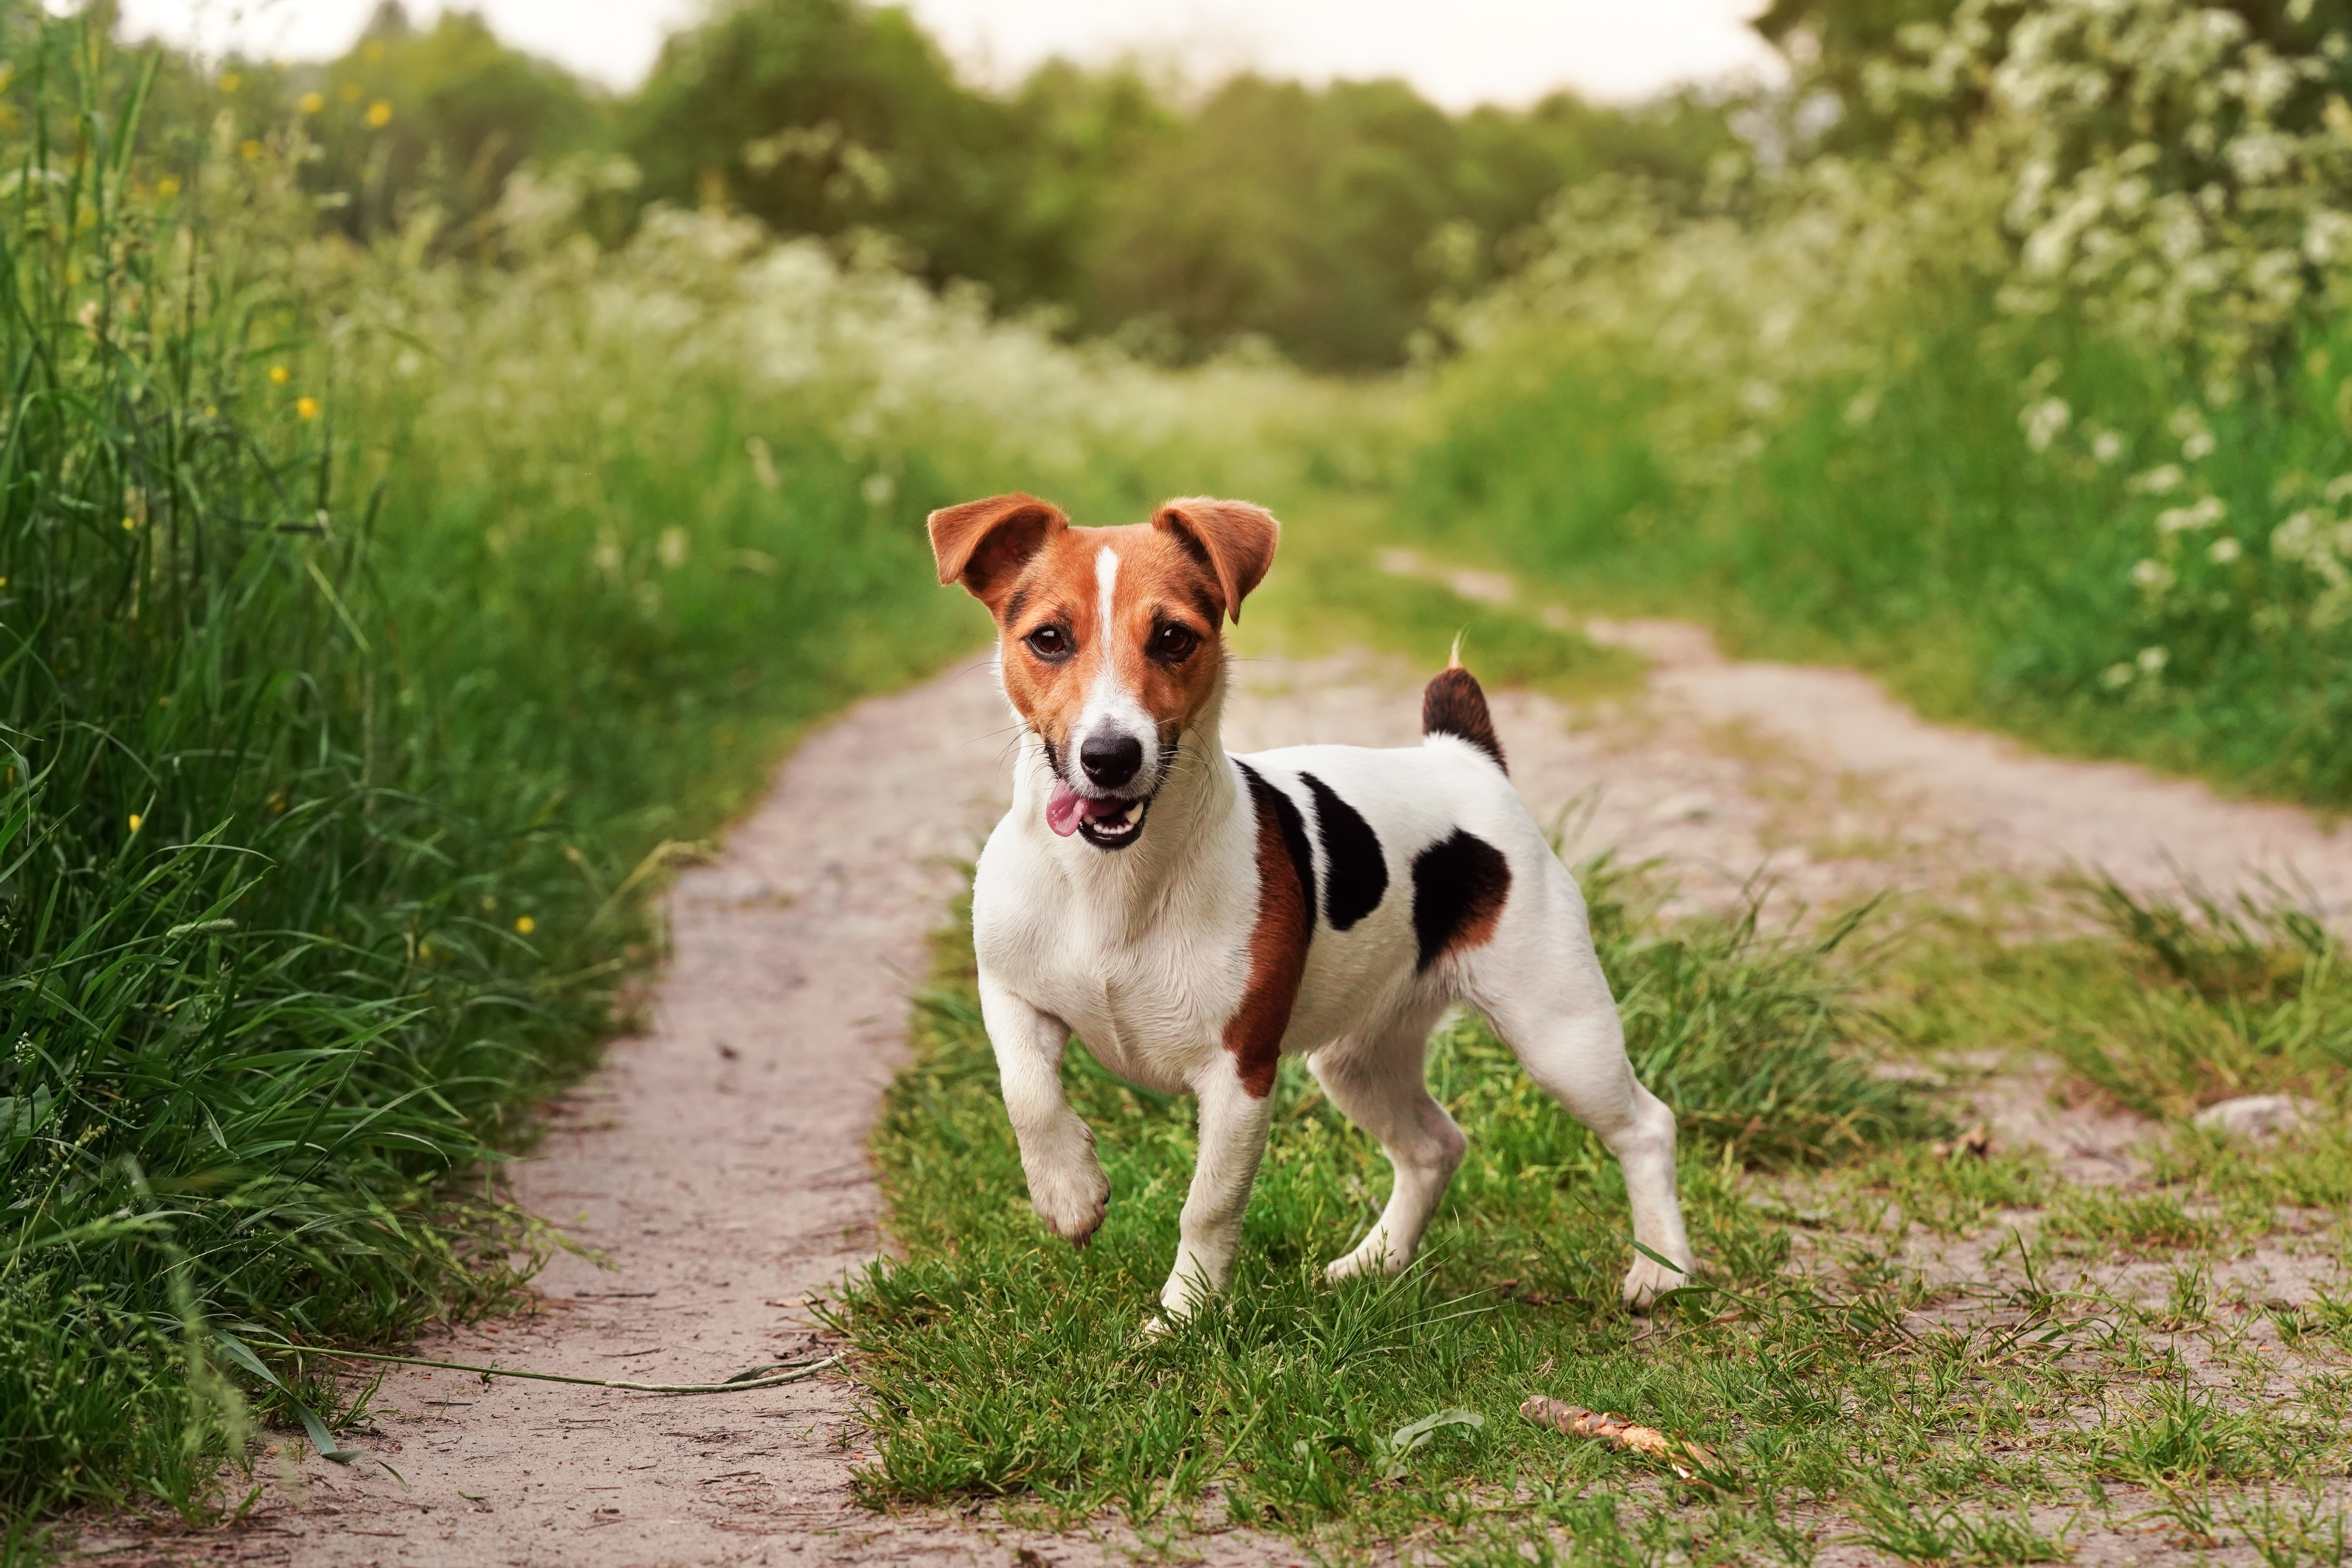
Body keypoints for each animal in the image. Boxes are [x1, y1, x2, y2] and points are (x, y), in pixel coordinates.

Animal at [922, 493, 1693, 1326]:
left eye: (1173, 637)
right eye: (1048, 639)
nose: (1110, 756)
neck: (1112, 876)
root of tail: (1464, 755)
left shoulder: (1240, 1073)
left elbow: (1209, 1204)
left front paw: (1184, 1317)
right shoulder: (1010, 991)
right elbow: (1027, 1093)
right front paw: (1069, 1193)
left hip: (1559, 1031)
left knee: (1645, 1126)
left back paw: (1662, 1271)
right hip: (1358, 1057)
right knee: (1434, 1146)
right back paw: (1375, 1261)